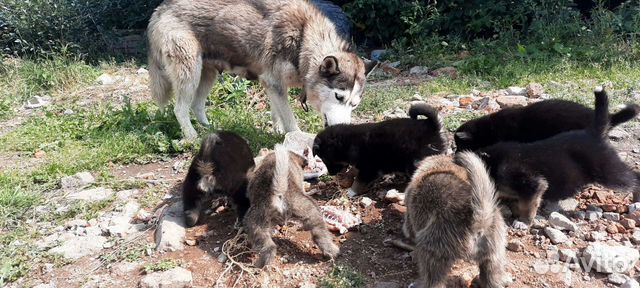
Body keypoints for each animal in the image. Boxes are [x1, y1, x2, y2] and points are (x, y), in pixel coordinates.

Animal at [148, 0, 378, 140]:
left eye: (354, 104)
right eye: (339, 97)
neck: (303, 40)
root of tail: (161, 8)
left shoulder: (273, 85)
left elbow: (278, 112)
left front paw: (277, 130)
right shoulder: (274, 82)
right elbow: (289, 118)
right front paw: (295, 137)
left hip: (207, 75)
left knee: (196, 105)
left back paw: (209, 129)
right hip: (190, 73)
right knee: (180, 109)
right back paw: (192, 136)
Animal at [314, 102, 444, 196]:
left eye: (325, 159)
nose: (331, 174)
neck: (347, 143)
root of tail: (432, 126)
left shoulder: (368, 168)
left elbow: (359, 180)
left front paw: (351, 192)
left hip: (415, 161)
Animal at [402, 152, 508, 286]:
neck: (440, 166)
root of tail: (479, 222)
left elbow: (408, 226)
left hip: (436, 242)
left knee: (433, 275)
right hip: (494, 251)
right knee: (492, 273)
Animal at [480, 86, 640, 222]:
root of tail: (594, 132)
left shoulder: (530, 183)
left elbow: (528, 204)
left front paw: (524, 220)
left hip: (609, 171)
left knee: (634, 178)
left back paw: (636, 200)